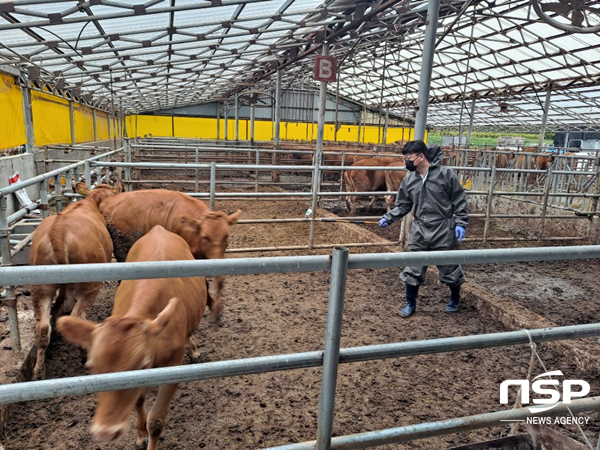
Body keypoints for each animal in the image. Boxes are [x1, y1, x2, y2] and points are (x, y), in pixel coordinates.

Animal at [28, 182, 121, 380]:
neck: (91, 201)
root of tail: (58, 231)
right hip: (90, 285)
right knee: (77, 317)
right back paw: (84, 355)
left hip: (40, 287)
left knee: (42, 329)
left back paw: (38, 372)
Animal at [56, 225, 211, 450]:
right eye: (93, 368)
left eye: (142, 366)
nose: (106, 432)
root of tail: (159, 229)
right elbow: (138, 401)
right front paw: (140, 434)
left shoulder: (173, 366)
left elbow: (156, 421)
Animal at [98, 188, 239, 322]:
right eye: (205, 237)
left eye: (226, 236)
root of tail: (108, 201)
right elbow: (205, 284)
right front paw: (211, 304)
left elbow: (219, 281)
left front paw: (217, 309)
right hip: (122, 250)